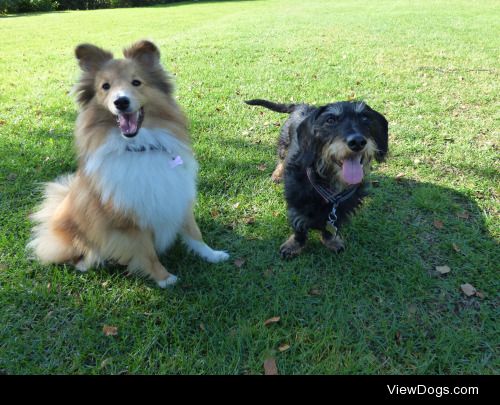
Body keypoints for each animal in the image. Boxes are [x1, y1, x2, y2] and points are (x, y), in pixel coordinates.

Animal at [28, 40, 229, 288]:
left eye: (136, 82)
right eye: (105, 86)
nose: (121, 102)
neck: (139, 146)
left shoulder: (177, 195)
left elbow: (195, 233)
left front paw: (212, 255)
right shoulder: (129, 222)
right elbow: (148, 253)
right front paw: (165, 279)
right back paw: (87, 262)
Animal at [244, 98, 388, 258]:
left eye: (364, 118)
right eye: (330, 120)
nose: (357, 142)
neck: (330, 185)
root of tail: (302, 106)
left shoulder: (340, 211)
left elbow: (331, 227)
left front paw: (331, 241)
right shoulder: (296, 205)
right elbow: (299, 226)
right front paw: (294, 245)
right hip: (284, 143)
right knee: (281, 159)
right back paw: (277, 174)